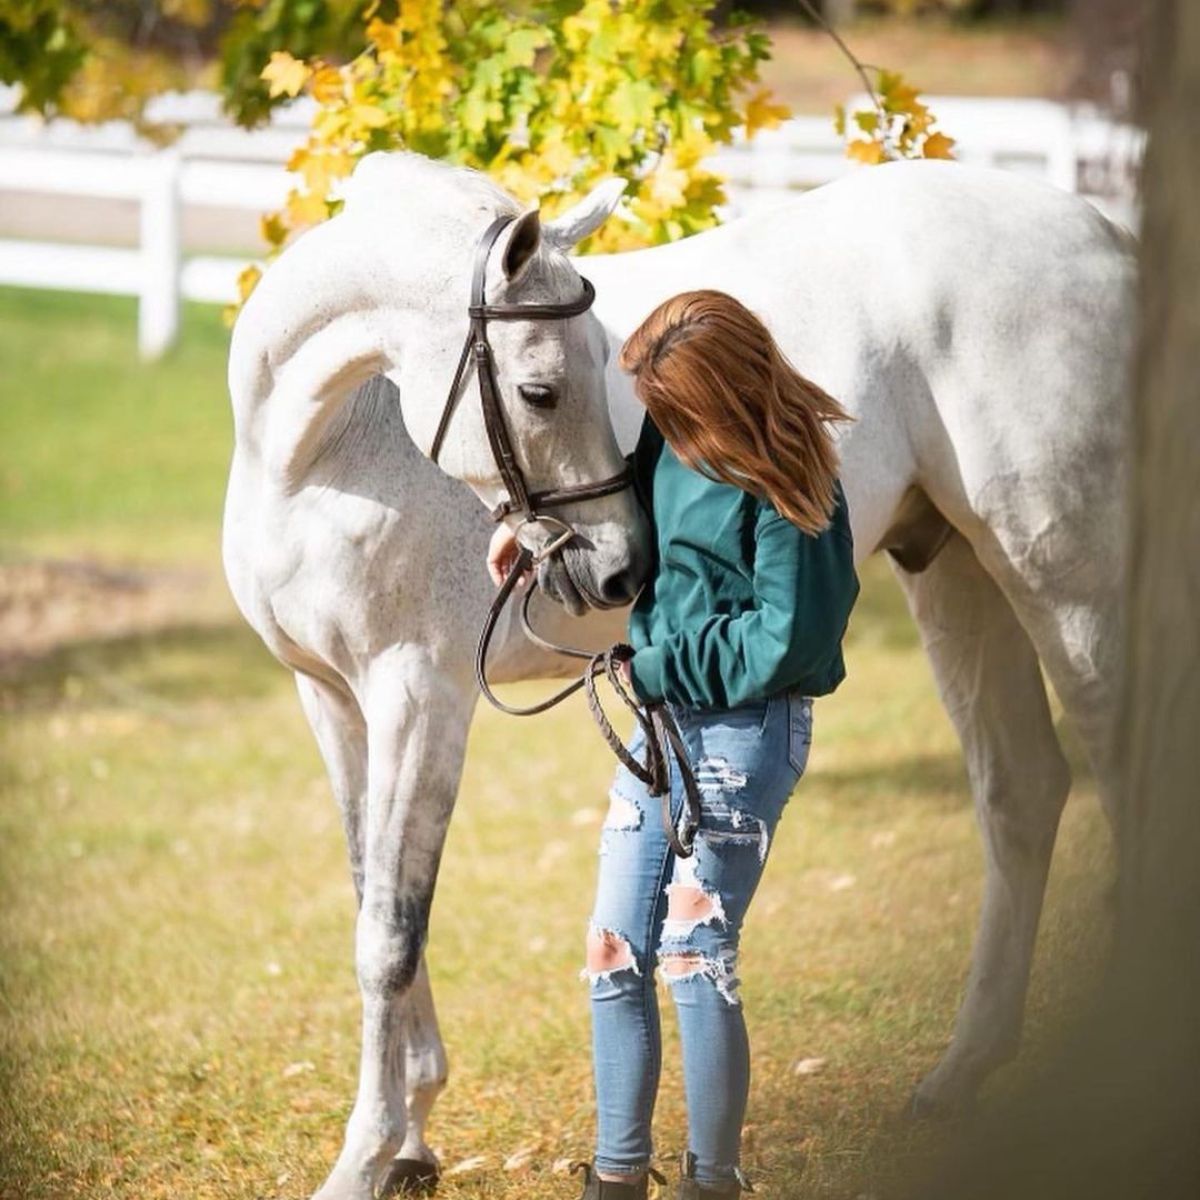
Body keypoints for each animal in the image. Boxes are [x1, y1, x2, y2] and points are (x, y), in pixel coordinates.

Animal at [223, 154, 1132, 1200]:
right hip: (953, 568)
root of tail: (1098, 233)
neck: (326, 453)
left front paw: (363, 1158)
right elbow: (373, 895)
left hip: (1064, 576)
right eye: (541, 391)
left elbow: (389, 936)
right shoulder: (333, 700)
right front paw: (410, 1143)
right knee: (1021, 790)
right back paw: (960, 1075)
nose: (623, 568)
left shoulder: (418, 699)